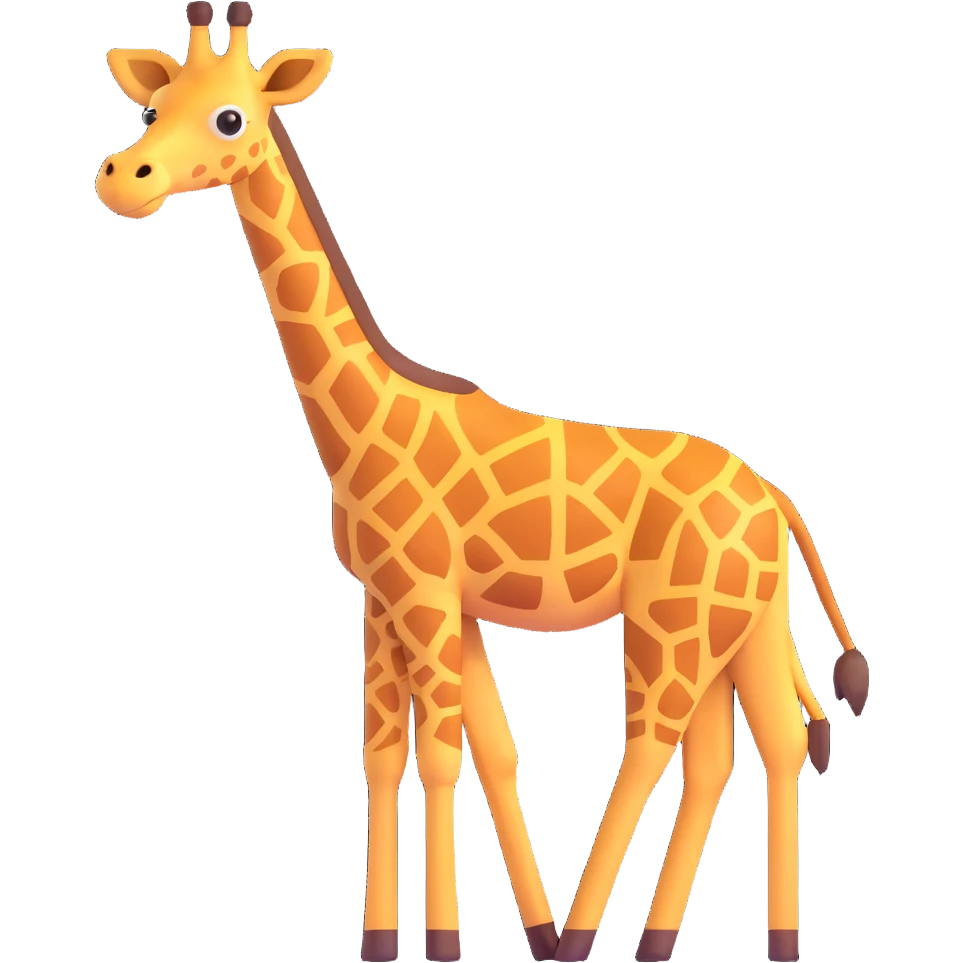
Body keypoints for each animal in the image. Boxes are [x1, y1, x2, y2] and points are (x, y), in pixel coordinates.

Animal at [94, 5, 869, 961]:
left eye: (230, 117)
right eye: (153, 102)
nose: (123, 179)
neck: (364, 422)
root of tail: (776, 498)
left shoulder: (425, 591)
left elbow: (440, 754)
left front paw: (449, 938)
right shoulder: (392, 599)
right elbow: (424, 753)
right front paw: (403, 936)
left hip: (671, 618)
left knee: (653, 746)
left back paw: (585, 935)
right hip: (740, 622)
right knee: (760, 745)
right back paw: (721, 939)